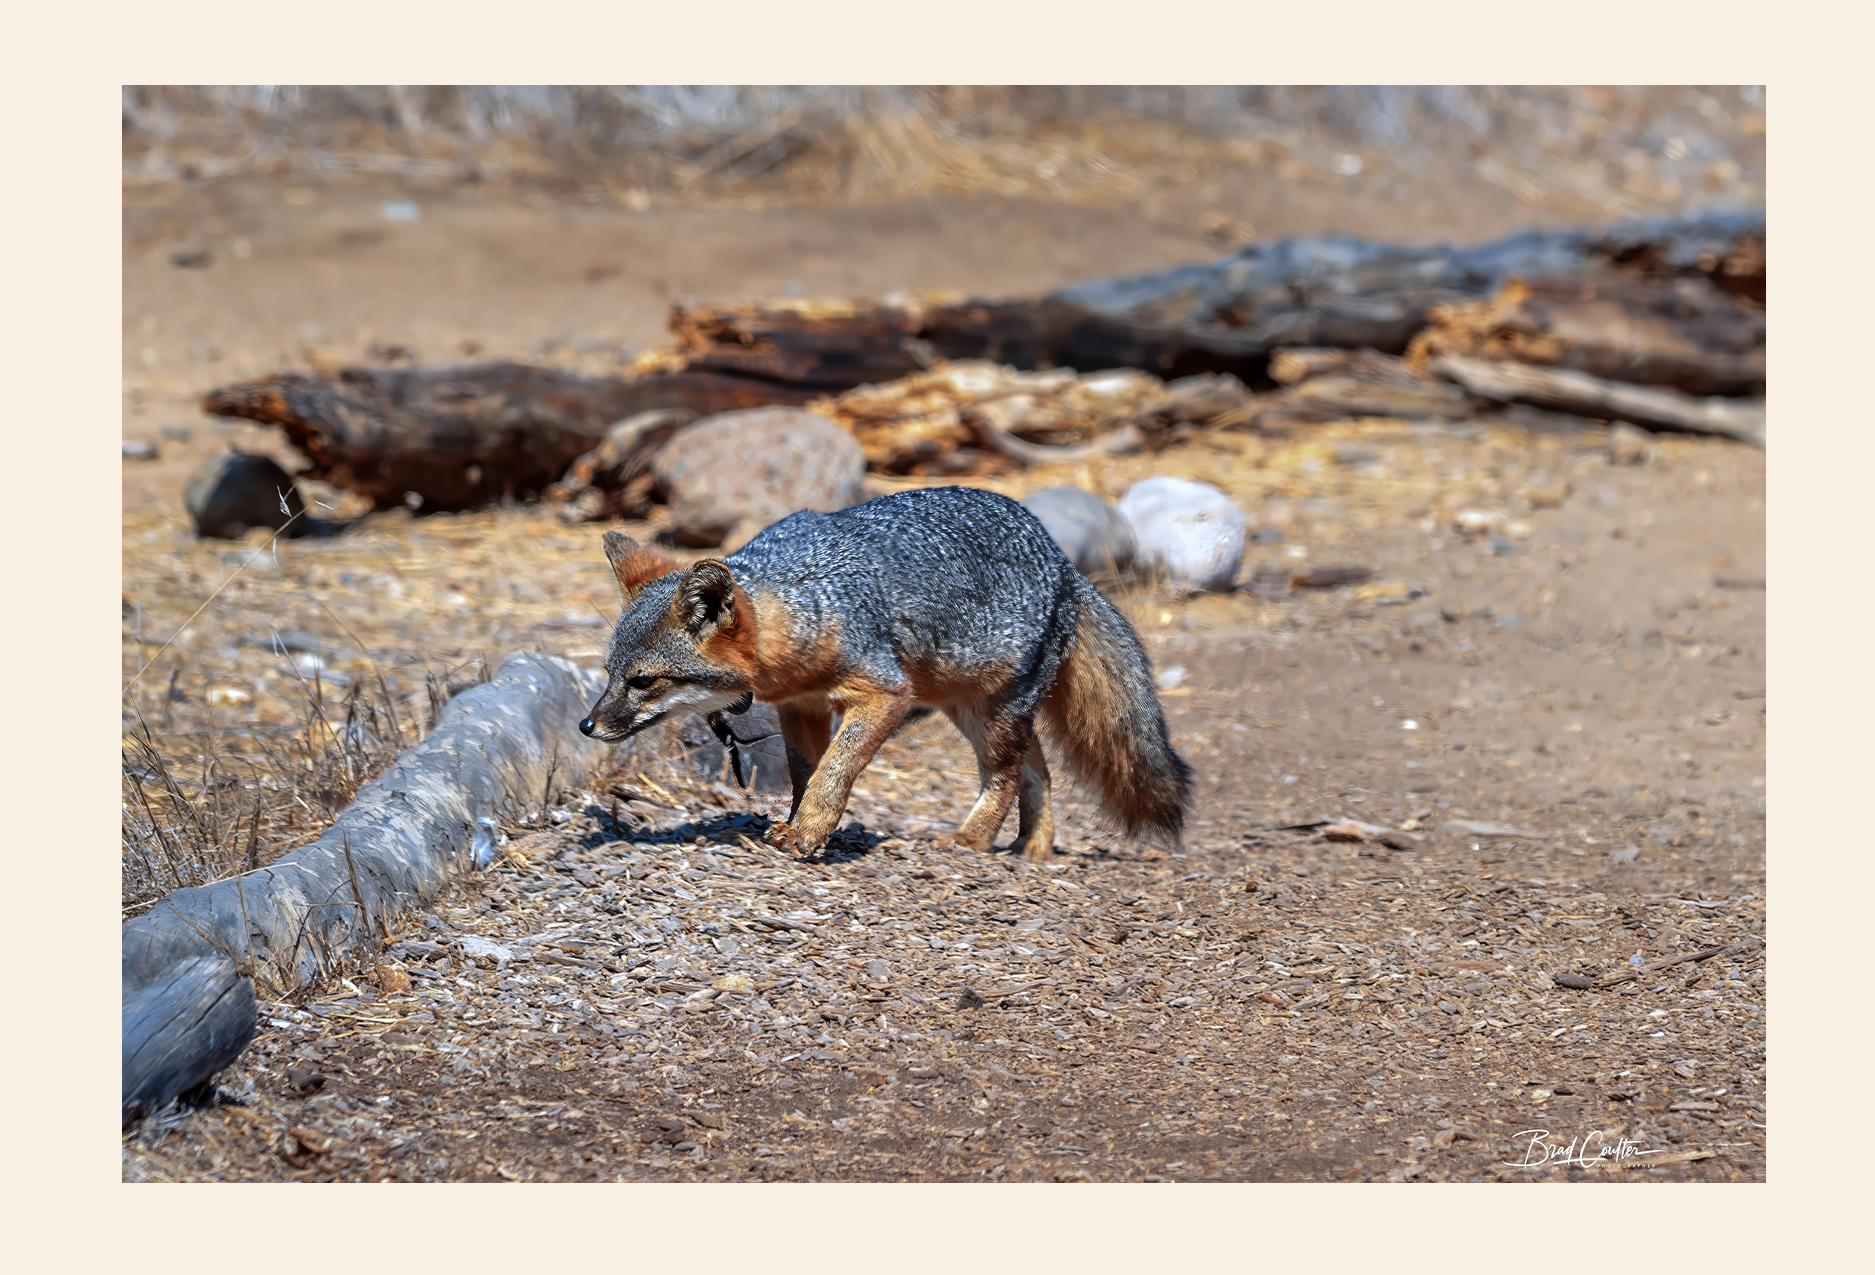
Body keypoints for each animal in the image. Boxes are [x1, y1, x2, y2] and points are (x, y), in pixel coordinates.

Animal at [578, 485, 1193, 860]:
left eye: (643, 682)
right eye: (608, 674)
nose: (587, 726)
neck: (810, 605)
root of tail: (1065, 563)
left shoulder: (884, 695)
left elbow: (835, 771)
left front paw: (807, 834)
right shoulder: (800, 706)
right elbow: (806, 772)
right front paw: (801, 824)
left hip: (988, 717)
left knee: (1008, 774)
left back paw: (972, 839)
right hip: (972, 710)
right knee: (1036, 767)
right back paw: (1031, 848)